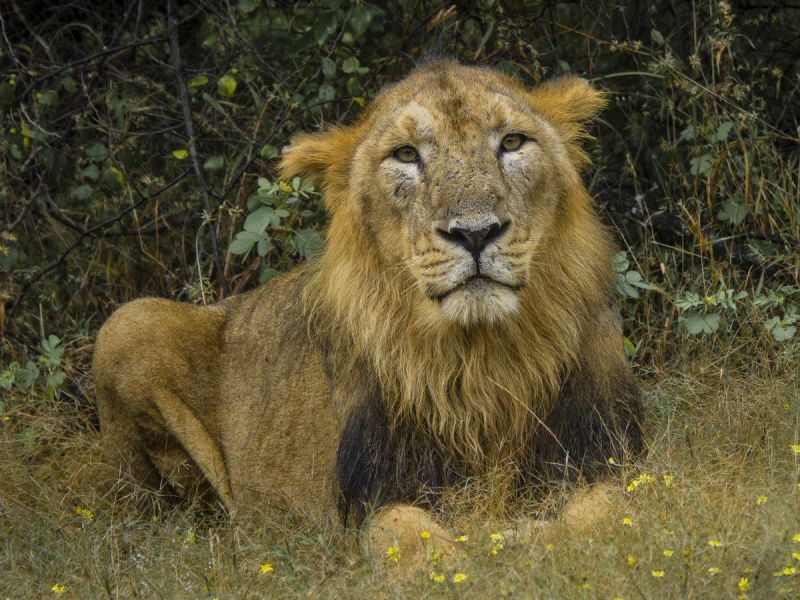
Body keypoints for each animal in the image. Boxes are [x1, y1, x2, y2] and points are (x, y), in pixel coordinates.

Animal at [93, 59, 643, 568]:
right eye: (406, 154)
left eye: (512, 142)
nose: (475, 232)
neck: (479, 361)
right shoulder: (363, 499)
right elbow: (404, 533)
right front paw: (460, 557)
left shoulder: (606, 457)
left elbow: (609, 511)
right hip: (127, 323)